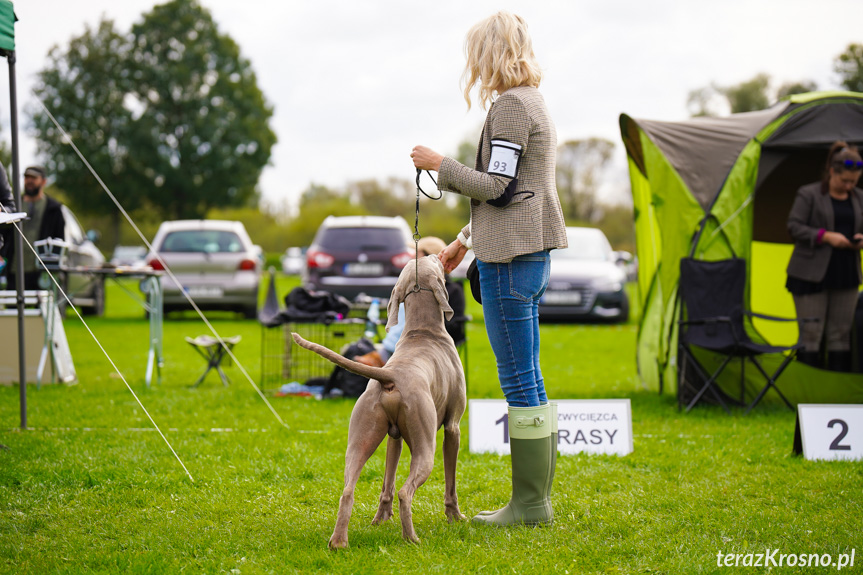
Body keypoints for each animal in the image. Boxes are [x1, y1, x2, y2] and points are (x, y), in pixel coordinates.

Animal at [290, 256, 466, 548]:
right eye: (431, 261)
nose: (440, 256)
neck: (422, 332)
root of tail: (390, 375)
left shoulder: (395, 437)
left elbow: (387, 480)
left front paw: (381, 518)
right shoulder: (453, 428)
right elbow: (450, 482)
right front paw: (456, 517)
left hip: (361, 435)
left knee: (347, 490)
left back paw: (339, 542)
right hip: (426, 445)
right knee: (406, 491)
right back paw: (411, 538)